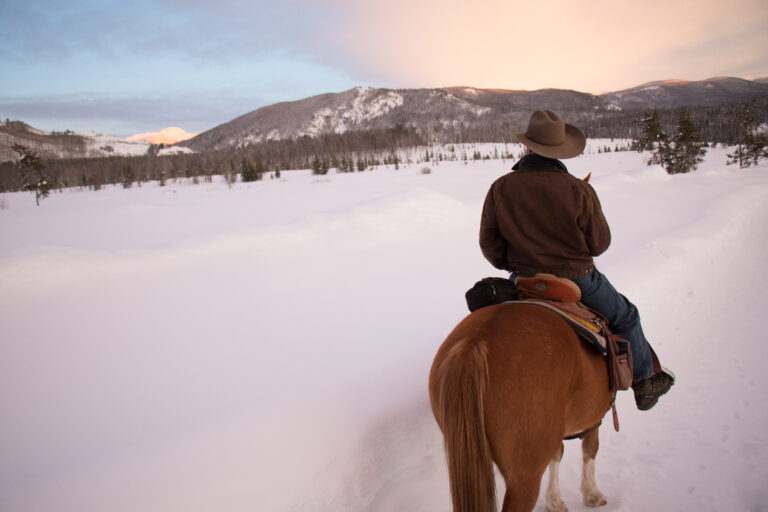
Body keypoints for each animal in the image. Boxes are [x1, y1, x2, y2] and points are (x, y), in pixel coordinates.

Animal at [428, 300, 616, 512]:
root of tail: (474, 341)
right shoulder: (593, 417)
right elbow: (591, 447)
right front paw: (592, 494)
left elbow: (558, 453)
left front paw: (555, 502)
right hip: (524, 478)